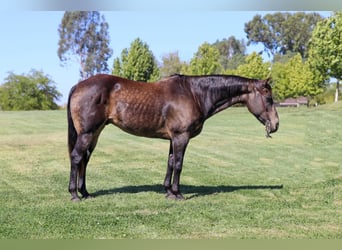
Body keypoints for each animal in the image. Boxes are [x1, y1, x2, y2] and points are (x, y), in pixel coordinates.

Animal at [67, 73, 278, 200]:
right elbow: (178, 164)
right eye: (268, 98)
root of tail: (78, 85)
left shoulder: (172, 139)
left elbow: (169, 162)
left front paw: (168, 191)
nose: (275, 125)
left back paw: (85, 192)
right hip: (87, 133)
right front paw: (178, 194)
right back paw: (74, 194)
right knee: (77, 157)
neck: (194, 94)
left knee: (85, 159)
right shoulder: (181, 137)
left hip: (95, 133)